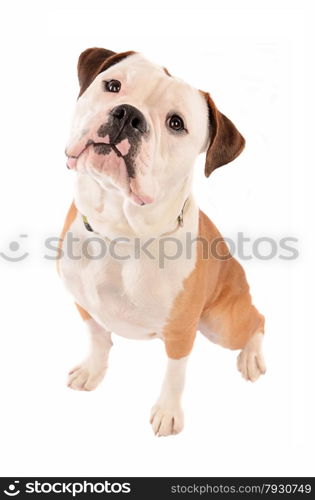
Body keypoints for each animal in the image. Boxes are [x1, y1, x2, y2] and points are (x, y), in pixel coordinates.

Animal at [59, 47, 266, 438]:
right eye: (113, 85)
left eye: (176, 123)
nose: (128, 114)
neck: (121, 233)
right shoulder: (83, 304)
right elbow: (98, 339)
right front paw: (92, 370)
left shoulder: (181, 331)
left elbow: (174, 374)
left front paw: (168, 413)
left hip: (223, 323)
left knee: (257, 320)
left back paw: (251, 357)